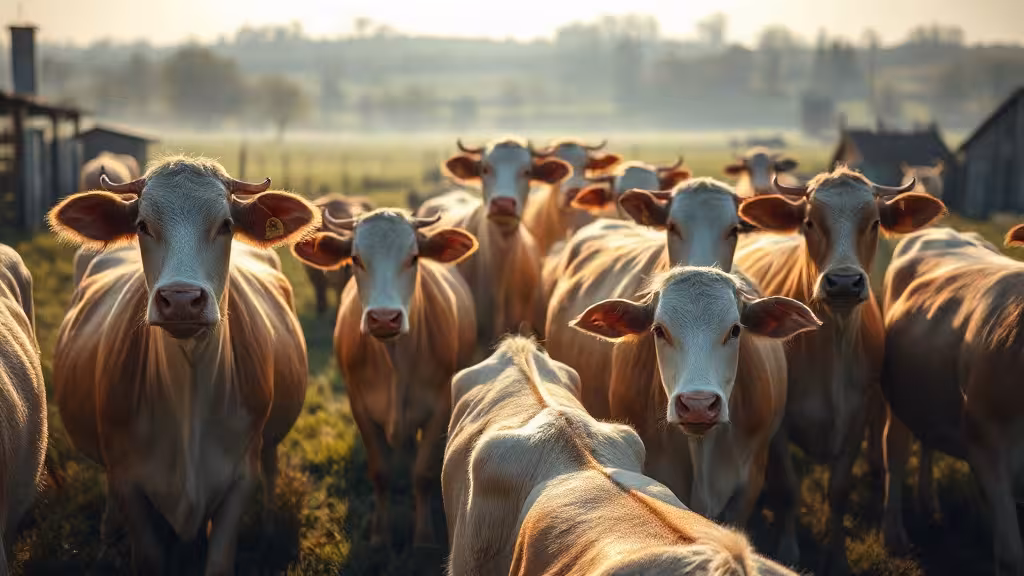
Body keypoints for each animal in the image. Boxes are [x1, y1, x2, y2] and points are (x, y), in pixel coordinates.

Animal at [48, 156, 317, 575]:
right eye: (142, 225)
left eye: (226, 225)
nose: (180, 299)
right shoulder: (128, 480)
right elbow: (149, 553)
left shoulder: (240, 477)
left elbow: (219, 558)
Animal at [292, 208, 477, 565]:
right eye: (355, 258)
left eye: (414, 257)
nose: (384, 318)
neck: (395, 364)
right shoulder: (360, 407)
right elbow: (380, 473)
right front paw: (379, 537)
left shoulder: (438, 409)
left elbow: (423, 473)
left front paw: (423, 540)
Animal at [734, 166, 945, 574]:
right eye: (808, 221)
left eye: (875, 222)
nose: (844, 281)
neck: (832, 346)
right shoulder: (779, 426)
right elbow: (788, 488)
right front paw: (788, 552)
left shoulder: (857, 416)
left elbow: (839, 491)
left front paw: (837, 558)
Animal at [881, 226, 1024, 575]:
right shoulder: (988, 448)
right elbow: (1011, 556)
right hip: (896, 395)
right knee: (895, 451)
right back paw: (895, 535)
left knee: (928, 437)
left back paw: (928, 502)